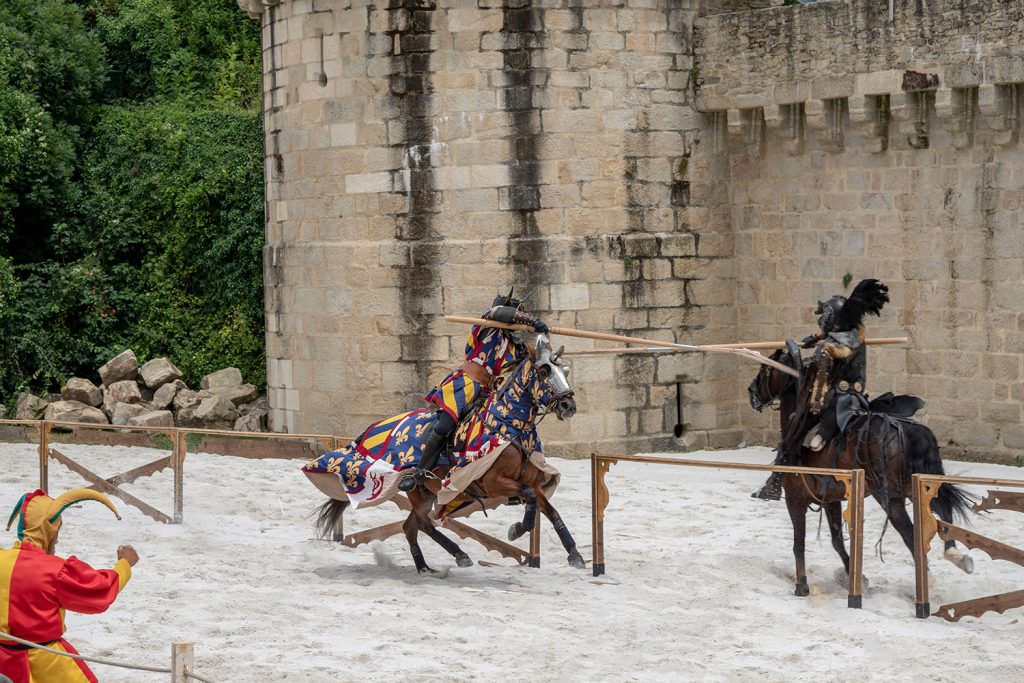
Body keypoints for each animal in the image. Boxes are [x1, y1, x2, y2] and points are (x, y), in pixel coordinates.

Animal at [311, 335, 585, 573]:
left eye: (565, 371)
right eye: (544, 371)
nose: (568, 405)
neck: (509, 424)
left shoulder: (533, 483)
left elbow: (550, 510)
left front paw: (575, 554)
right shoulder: (493, 482)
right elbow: (529, 498)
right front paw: (517, 529)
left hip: (426, 494)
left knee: (411, 526)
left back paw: (428, 565)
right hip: (418, 491)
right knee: (421, 523)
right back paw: (454, 555)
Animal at [749, 348, 970, 598]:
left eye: (765, 369)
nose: (751, 392)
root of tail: (905, 430)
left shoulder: (795, 500)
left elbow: (799, 543)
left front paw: (802, 585)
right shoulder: (831, 500)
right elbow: (837, 540)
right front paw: (854, 576)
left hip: (890, 498)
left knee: (910, 533)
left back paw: (927, 579)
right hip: (918, 487)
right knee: (943, 512)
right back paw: (955, 556)